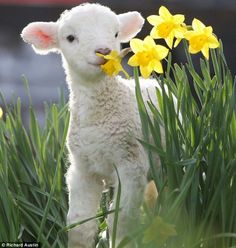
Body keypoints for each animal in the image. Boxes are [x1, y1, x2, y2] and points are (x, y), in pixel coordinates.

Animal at [21, 2, 160, 248]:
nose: (104, 51)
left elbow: (121, 222)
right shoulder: (82, 169)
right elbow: (79, 224)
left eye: (116, 34)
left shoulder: (131, 165)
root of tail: (148, 81)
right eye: (70, 37)